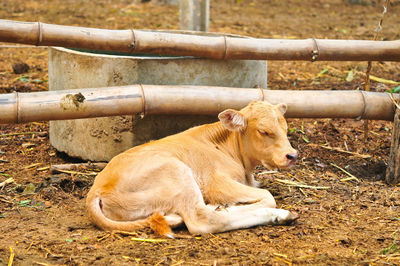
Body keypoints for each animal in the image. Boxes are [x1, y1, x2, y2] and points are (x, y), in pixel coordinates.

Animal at [86, 101, 298, 236]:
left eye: (286, 129)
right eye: (264, 131)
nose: (292, 155)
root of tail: (97, 190)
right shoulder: (216, 183)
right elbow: (268, 197)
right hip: (178, 174)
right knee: (204, 220)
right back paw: (281, 215)